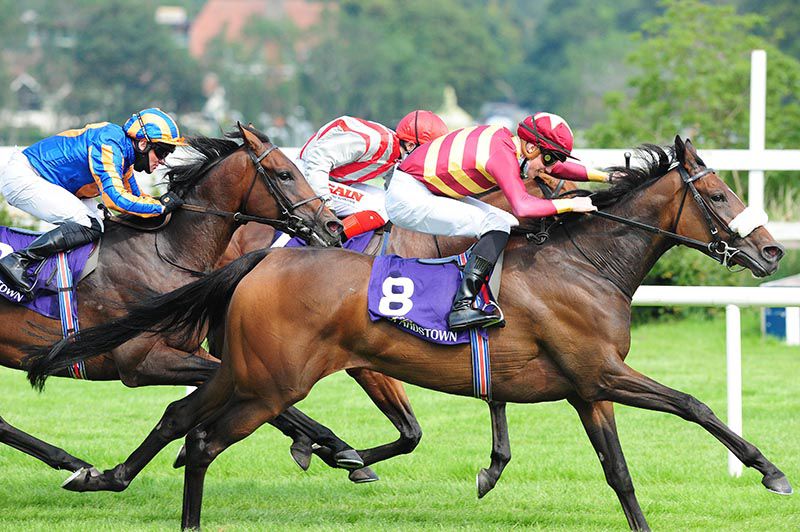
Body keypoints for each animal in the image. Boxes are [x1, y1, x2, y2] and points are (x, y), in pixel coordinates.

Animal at [0, 123, 341, 473]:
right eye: (285, 174)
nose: (332, 225)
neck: (166, 252)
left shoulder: (186, 348)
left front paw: (329, 445)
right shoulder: (140, 362)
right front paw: (324, 445)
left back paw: (72, 462)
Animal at [27, 137, 790, 530]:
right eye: (717, 194)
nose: (773, 251)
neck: (583, 264)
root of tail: (260, 261)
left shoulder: (586, 387)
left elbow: (620, 474)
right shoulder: (601, 373)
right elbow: (695, 405)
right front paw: (772, 471)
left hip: (247, 372)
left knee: (182, 421)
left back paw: (103, 475)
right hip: (270, 380)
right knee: (204, 440)